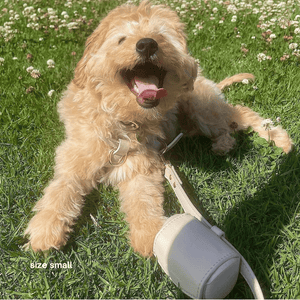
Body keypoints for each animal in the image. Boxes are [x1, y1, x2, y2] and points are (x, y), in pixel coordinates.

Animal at [24, 1, 292, 256]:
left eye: (161, 35)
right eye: (121, 39)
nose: (147, 45)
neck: (124, 121)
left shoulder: (143, 165)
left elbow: (144, 198)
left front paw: (150, 237)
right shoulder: (76, 157)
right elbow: (60, 190)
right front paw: (45, 230)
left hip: (200, 107)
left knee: (239, 113)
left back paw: (280, 140)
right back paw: (224, 145)